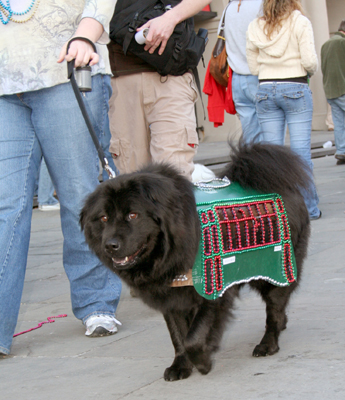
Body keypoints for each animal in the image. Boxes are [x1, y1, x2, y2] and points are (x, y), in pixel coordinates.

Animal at [80, 143, 310, 382]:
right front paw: (180, 366)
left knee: (274, 309)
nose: (110, 244)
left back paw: (268, 344)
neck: (171, 250)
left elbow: (194, 336)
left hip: (276, 270)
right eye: (104, 218)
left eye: (133, 215)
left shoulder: (212, 292)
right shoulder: (172, 296)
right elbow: (178, 335)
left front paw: (203, 362)